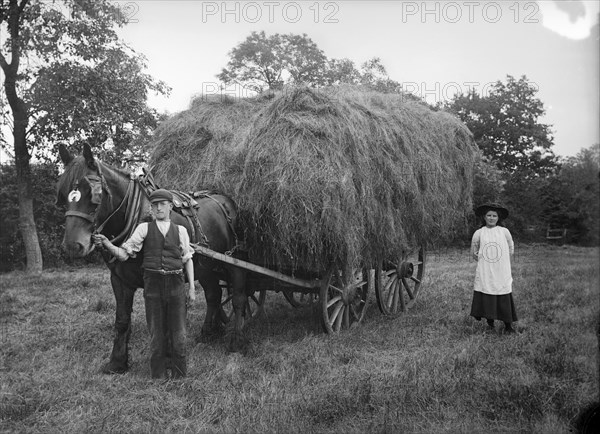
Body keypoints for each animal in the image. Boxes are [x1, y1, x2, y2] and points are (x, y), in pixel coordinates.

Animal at [56, 143, 248, 372]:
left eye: (94, 193)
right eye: (62, 194)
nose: (72, 246)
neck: (136, 216)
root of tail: (225, 199)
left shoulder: (160, 277)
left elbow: (163, 319)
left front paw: (167, 360)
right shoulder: (119, 280)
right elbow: (122, 320)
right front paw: (117, 362)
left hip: (234, 260)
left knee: (238, 298)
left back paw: (236, 341)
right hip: (206, 266)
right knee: (213, 294)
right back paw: (208, 333)